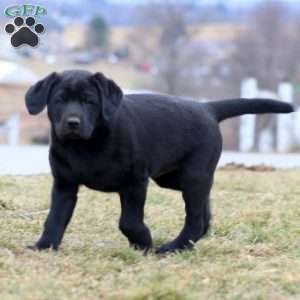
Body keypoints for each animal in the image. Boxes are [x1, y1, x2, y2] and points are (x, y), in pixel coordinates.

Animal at [25, 69, 292, 253]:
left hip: (193, 176)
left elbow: (129, 221)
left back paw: (174, 247)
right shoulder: (64, 184)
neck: (86, 145)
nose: (72, 123)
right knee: (203, 212)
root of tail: (207, 109)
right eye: (59, 100)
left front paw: (143, 242)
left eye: (89, 101)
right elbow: (55, 217)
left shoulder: (135, 182)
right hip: (173, 178)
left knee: (195, 218)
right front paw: (44, 246)